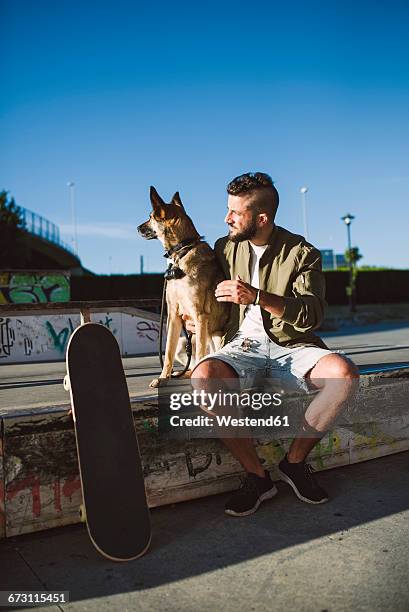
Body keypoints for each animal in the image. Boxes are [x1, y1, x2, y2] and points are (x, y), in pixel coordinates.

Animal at [136, 186, 226, 388]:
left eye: (150, 216)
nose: (137, 228)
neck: (182, 251)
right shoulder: (173, 316)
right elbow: (168, 351)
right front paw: (163, 377)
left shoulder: (200, 315)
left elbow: (200, 354)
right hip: (186, 339)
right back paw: (181, 373)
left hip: (214, 337)